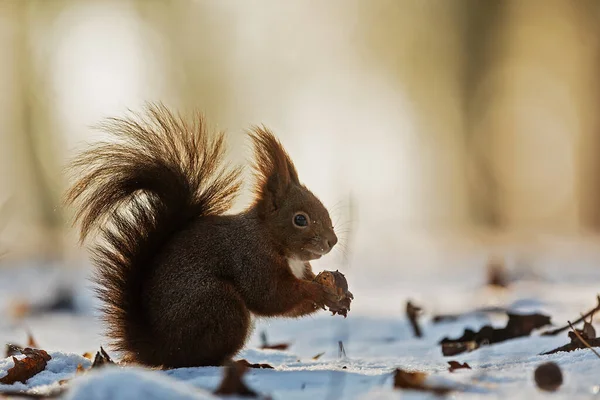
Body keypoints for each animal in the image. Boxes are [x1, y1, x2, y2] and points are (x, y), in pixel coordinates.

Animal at [65, 104, 352, 368]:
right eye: (300, 219)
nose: (332, 241)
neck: (271, 238)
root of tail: (159, 350)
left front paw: (340, 296)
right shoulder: (251, 259)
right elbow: (271, 295)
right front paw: (319, 291)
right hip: (220, 306)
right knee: (202, 359)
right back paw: (241, 364)